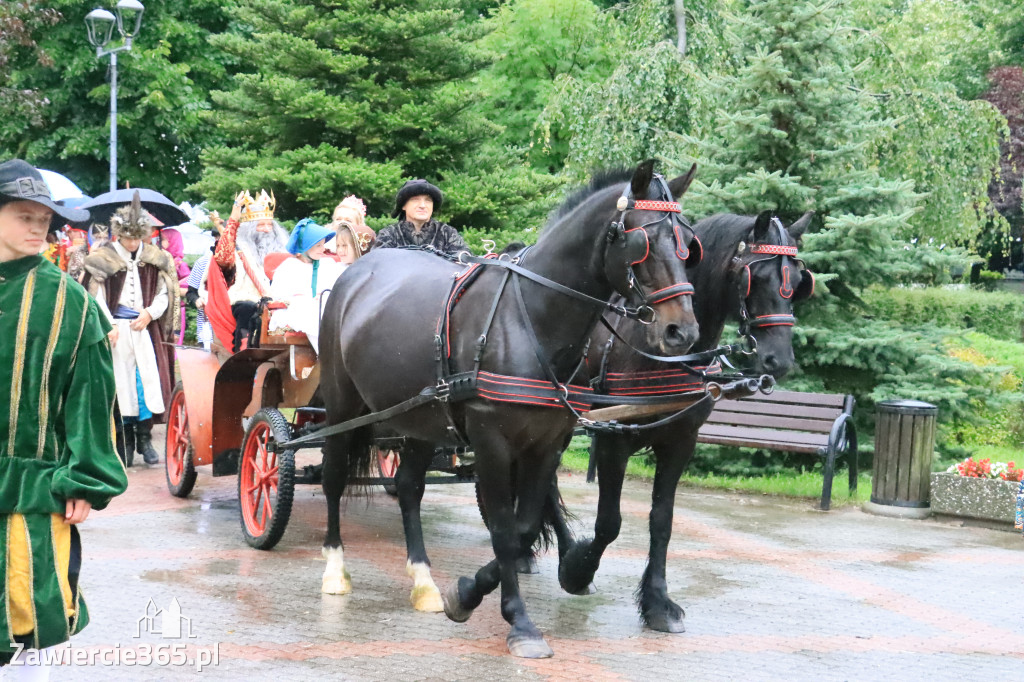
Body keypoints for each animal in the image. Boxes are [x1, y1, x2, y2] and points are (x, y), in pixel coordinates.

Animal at [319, 160, 704, 659]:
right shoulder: (492, 442)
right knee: (332, 478)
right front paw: (518, 621)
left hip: (423, 418)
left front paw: (466, 592)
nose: (683, 333)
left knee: (408, 489)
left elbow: (523, 526)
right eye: (642, 242)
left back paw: (423, 580)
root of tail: (357, 272)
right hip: (341, 405)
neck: (531, 318)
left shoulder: (548, 443)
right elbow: (503, 528)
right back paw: (334, 570)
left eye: (688, 244)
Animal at [557, 209, 811, 630]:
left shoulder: (681, 441)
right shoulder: (614, 438)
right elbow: (609, 522)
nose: (779, 359)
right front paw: (578, 570)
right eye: (755, 277)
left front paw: (658, 603)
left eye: (798, 281)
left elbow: (663, 521)